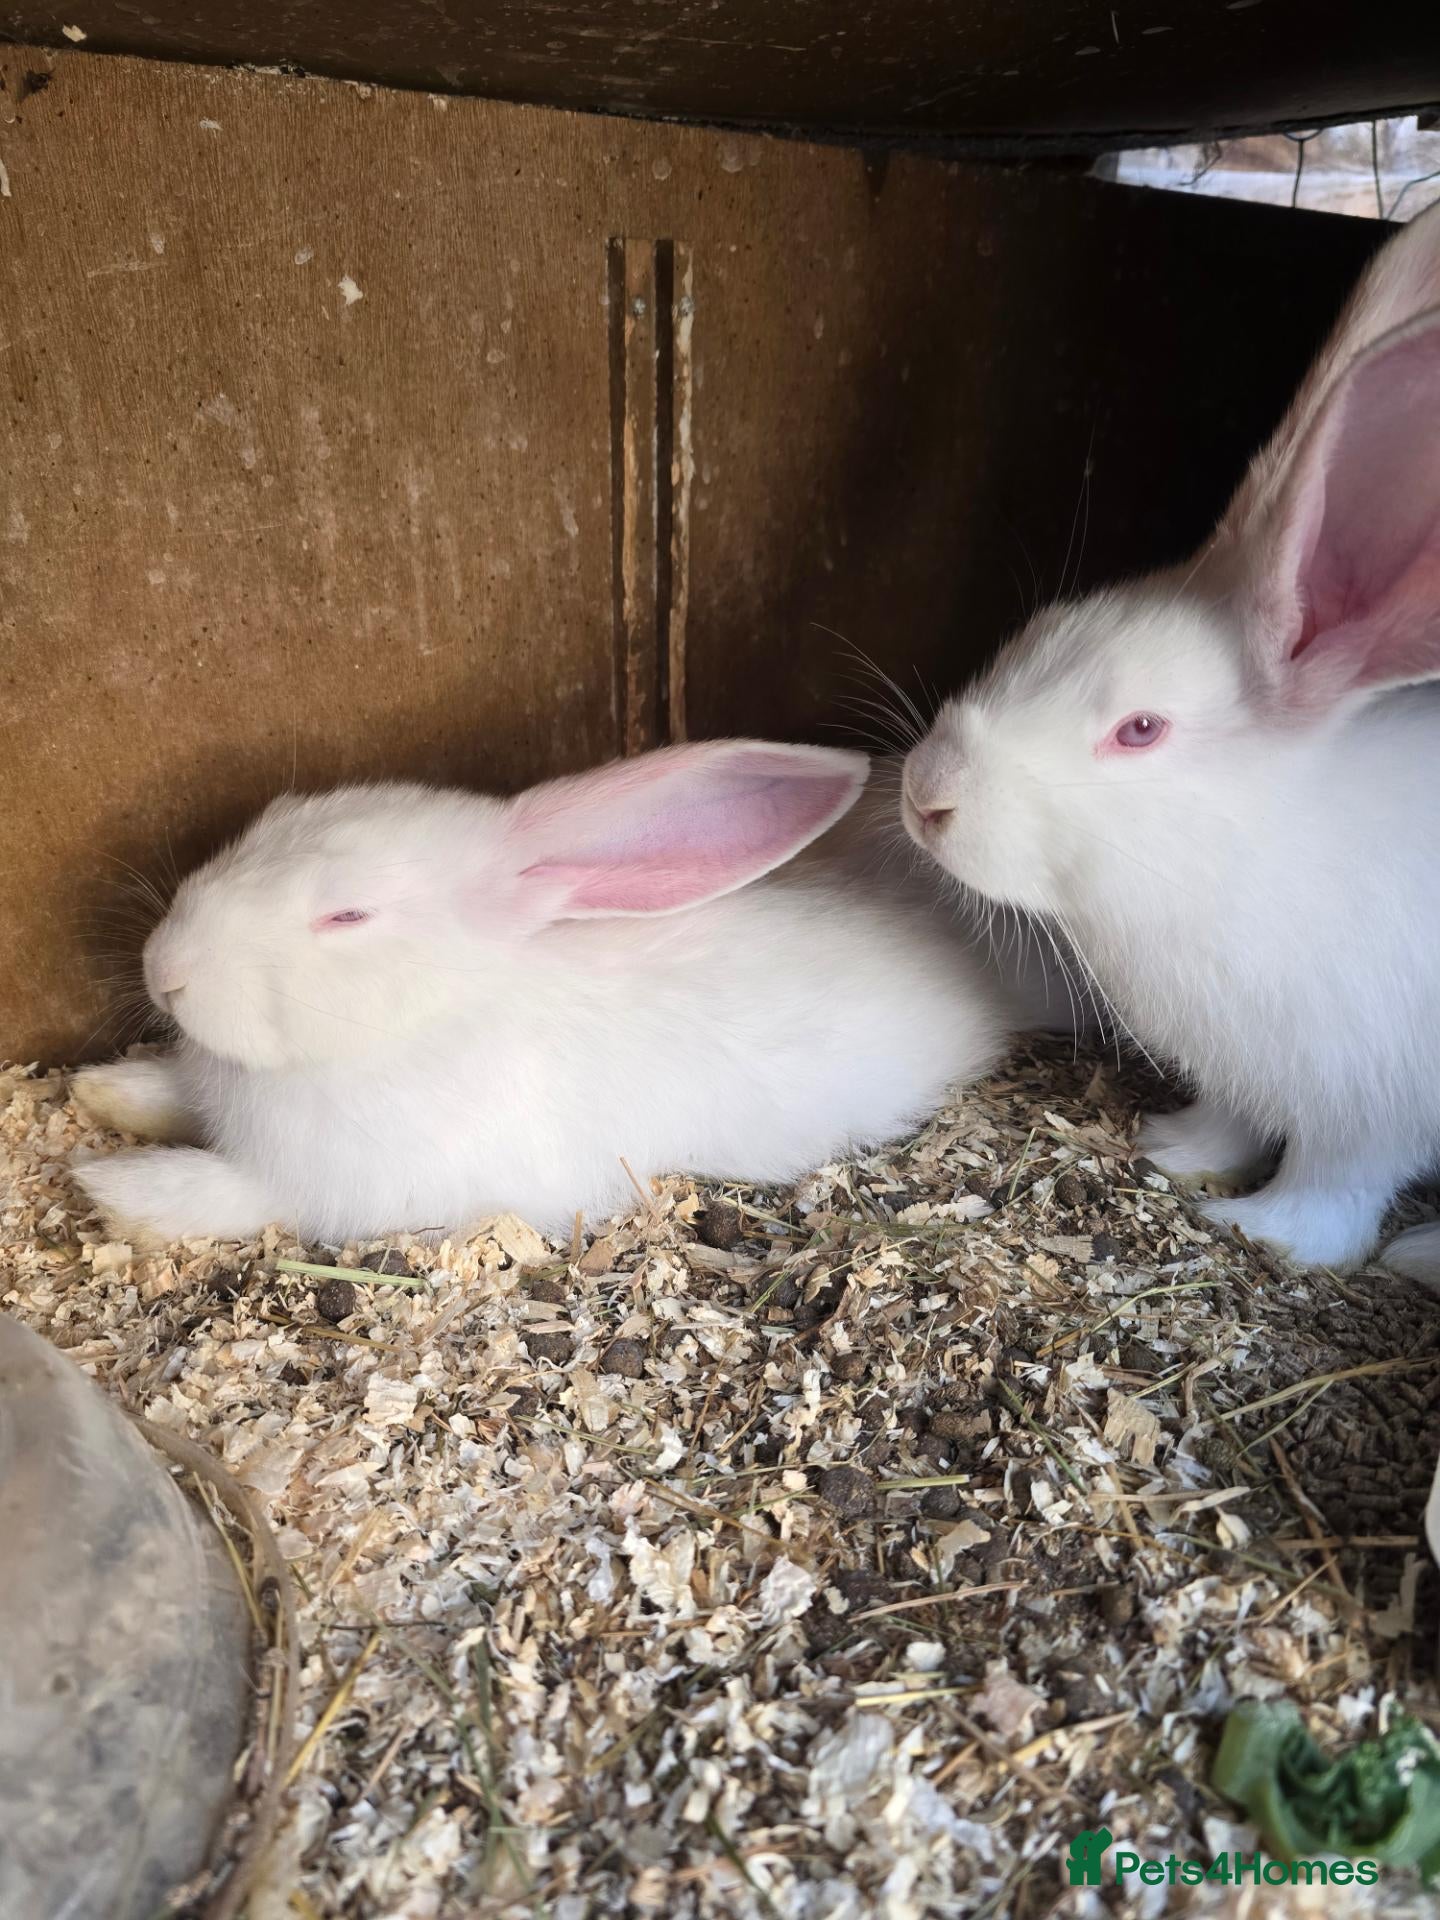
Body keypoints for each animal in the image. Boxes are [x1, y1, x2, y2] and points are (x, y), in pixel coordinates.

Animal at [71, 738, 1037, 1248]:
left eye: (347, 915)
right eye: (267, 823)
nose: (164, 969)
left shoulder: (341, 1192)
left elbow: (231, 1193)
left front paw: (111, 1188)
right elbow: (165, 1089)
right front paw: (101, 1093)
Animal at [899, 199, 1440, 1279]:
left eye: (1139, 730)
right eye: (1038, 630)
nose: (923, 793)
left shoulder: (1373, 1107)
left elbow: (1335, 1190)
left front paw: (1265, 1230)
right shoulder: (1241, 1070)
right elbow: (1230, 1119)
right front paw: (1174, 1150)